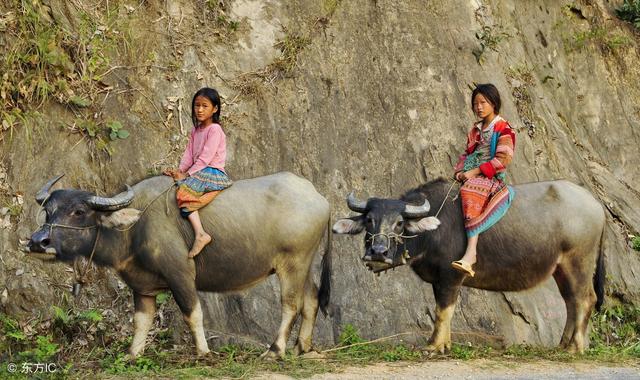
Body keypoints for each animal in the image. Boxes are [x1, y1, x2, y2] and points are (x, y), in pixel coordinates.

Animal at [28, 173, 332, 360]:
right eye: (48, 211)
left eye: (79, 211)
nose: (37, 242)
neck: (133, 228)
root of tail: (318, 197)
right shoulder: (142, 285)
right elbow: (141, 320)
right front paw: (133, 353)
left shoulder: (180, 274)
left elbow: (192, 313)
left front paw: (203, 352)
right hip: (304, 264)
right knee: (311, 299)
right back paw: (303, 347)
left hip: (292, 263)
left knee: (290, 304)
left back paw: (275, 350)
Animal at [336, 178, 604, 354]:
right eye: (369, 220)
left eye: (400, 223)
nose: (378, 252)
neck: (434, 229)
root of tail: (595, 204)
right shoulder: (438, 280)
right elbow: (443, 310)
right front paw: (444, 343)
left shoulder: (450, 275)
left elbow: (443, 310)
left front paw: (433, 346)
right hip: (561, 268)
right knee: (570, 301)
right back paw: (562, 345)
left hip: (579, 261)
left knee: (584, 299)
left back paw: (575, 348)